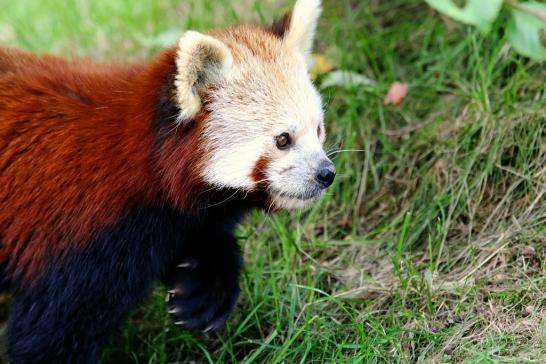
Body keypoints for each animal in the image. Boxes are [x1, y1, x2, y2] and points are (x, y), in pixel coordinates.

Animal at [0, 0, 332, 362]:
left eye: (318, 129)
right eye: (283, 140)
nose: (326, 174)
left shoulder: (180, 220)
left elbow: (207, 240)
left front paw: (203, 294)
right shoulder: (78, 236)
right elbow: (50, 336)